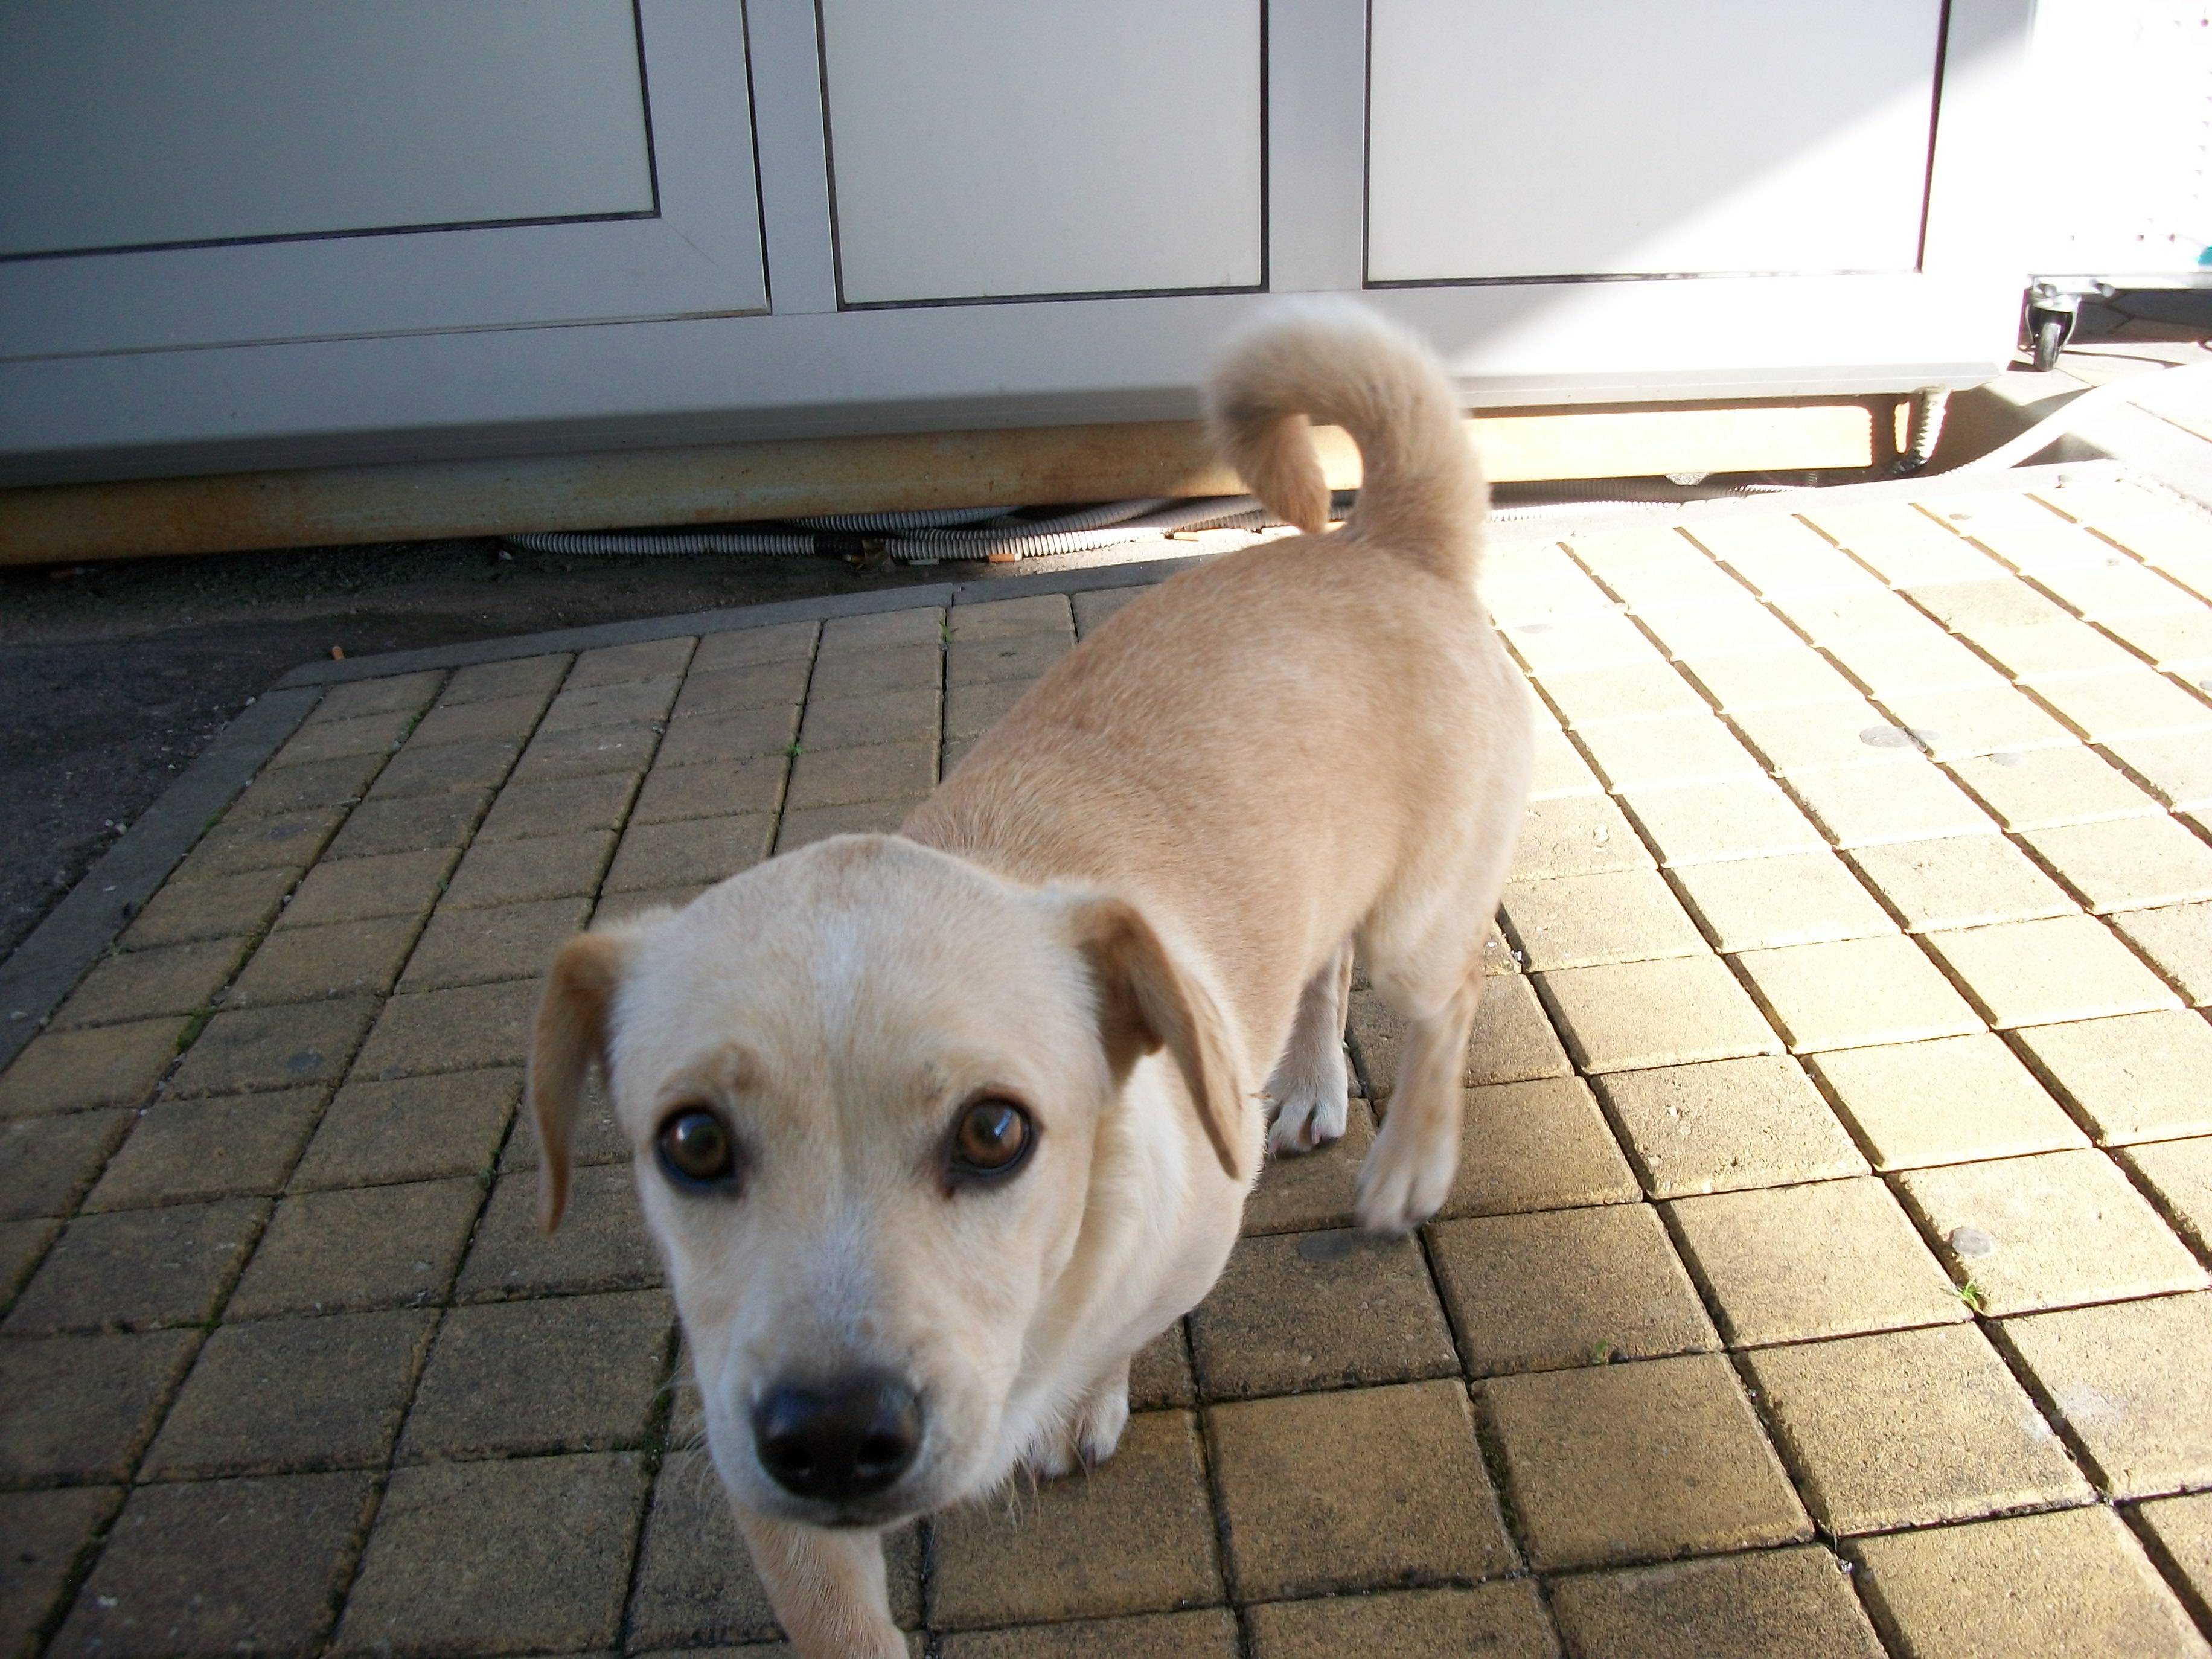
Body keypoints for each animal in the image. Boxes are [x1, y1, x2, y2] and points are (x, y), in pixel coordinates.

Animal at [527, 299, 1532, 1657]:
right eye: (690, 1143)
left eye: (994, 1132)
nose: (831, 1437)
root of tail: (1380, 542)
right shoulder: (754, 1456)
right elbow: (841, 1625)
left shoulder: (1182, 1243)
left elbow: (1121, 1333)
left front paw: (1078, 1405)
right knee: (1318, 973)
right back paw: (1309, 1085)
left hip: (1413, 931)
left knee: (1449, 999)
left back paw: (1406, 1166)